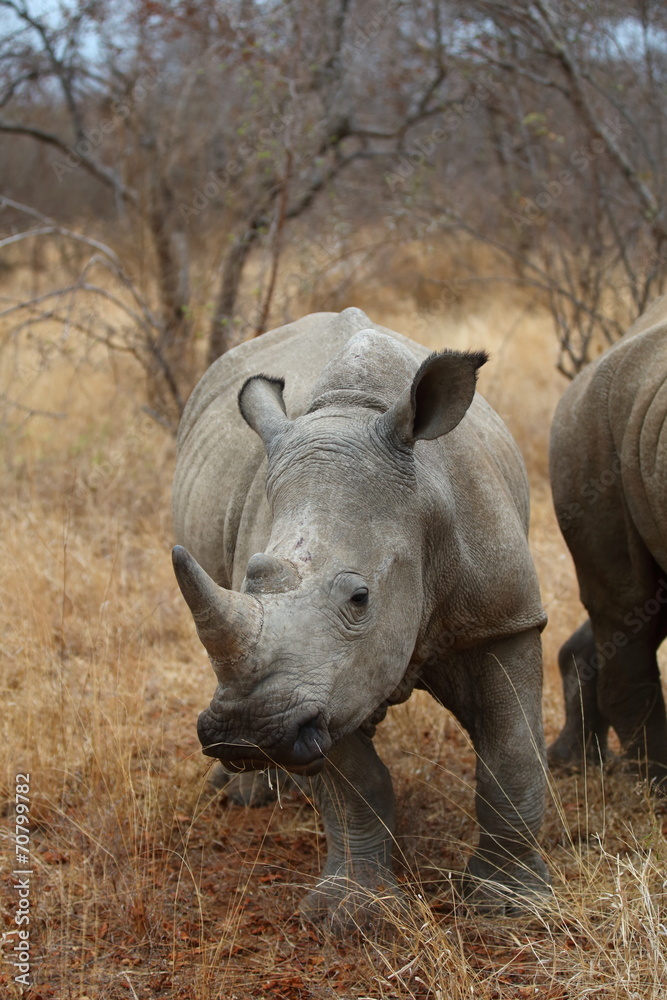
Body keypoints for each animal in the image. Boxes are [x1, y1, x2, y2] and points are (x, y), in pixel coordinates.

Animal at [171, 307, 549, 923]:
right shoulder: (322, 681)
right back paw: (244, 795)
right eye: (252, 577)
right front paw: (349, 914)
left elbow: (514, 751)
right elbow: (353, 782)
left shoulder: (503, 620)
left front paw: (510, 905)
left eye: (360, 598)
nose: (246, 734)